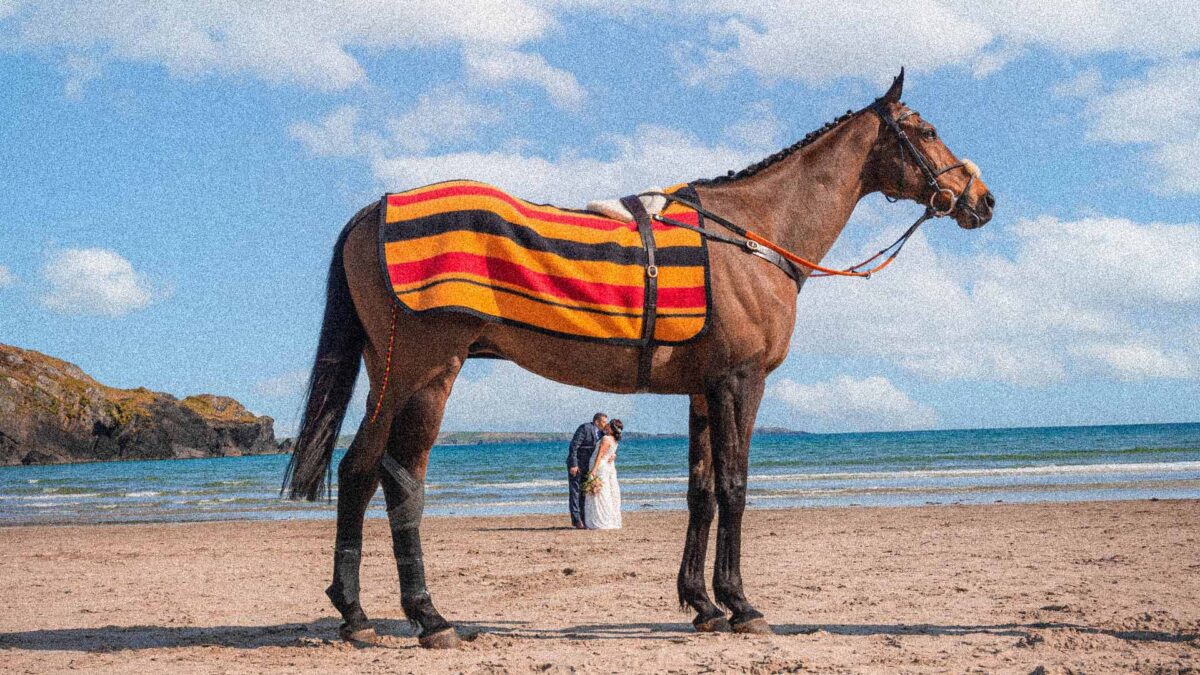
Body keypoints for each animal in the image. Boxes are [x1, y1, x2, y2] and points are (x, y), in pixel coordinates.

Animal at [282, 70, 994, 648]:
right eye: (926, 130)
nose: (982, 199)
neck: (750, 238)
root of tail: (374, 211)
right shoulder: (740, 383)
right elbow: (734, 487)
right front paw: (741, 604)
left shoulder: (704, 389)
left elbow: (701, 491)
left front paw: (703, 604)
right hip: (426, 371)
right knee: (401, 476)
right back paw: (430, 617)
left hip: (389, 372)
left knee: (358, 469)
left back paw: (355, 614)